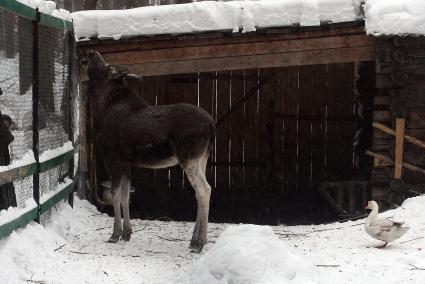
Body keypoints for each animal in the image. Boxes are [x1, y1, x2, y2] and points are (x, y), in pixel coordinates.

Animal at [84, 50, 215, 251]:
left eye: (107, 67)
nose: (92, 53)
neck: (102, 108)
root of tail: (211, 125)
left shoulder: (112, 159)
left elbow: (115, 195)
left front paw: (115, 234)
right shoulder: (127, 163)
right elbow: (125, 195)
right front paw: (127, 233)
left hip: (188, 157)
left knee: (204, 189)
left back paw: (199, 243)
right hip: (202, 158)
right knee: (200, 191)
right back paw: (195, 239)